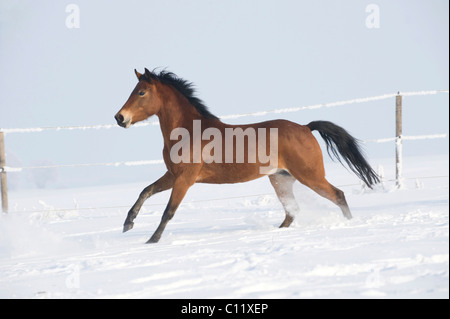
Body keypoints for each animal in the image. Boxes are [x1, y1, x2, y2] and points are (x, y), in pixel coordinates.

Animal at [114, 69, 378, 244]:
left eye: (141, 92)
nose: (120, 117)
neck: (189, 131)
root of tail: (306, 127)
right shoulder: (173, 175)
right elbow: (145, 191)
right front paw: (128, 224)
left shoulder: (185, 179)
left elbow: (168, 210)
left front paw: (152, 240)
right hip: (281, 179)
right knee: (292, 211)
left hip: (310, 176)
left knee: (338, 195)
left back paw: (349, 224)